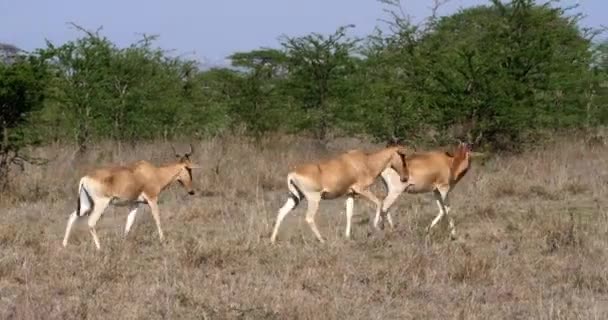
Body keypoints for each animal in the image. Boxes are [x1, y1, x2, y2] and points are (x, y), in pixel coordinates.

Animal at [63, 144, 198, 250]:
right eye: (188, 169)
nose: (191, 191)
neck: (154, 172)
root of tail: (85, 178)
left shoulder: (134, 204)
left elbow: (129, 223)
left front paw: (123, 242)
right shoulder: (152, 199)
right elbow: (157, 218)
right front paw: (163, 240)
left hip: (86, 204)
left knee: (72, 217)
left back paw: (64, 244)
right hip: (100, 204)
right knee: (91, 222)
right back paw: (99, 248)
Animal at [272, 146, 410, 244]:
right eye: (403, 158)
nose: (405, 178)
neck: (366, 161)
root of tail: (292, 173)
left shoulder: (351, 194)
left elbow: (349, 214)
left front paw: (347, 236)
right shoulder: (362, 190)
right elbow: (379, 202)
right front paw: (376, 226)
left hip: (295, 197)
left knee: (281, 211)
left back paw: (272, 240)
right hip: (314, 198)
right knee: (309, 217)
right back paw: (322, 240)